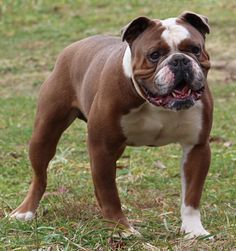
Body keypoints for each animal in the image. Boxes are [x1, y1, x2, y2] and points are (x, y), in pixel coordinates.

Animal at [11, 11, 213, 239]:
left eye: (195, 50)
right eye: (154, 55)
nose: (179, 60)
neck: (153, 101)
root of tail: (72, 48)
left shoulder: (197, 147)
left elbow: (192, 196)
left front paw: (194, 229)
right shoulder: (102, 148)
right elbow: (110, 194)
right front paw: (122, 228)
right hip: (44, 135)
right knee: (40, 176)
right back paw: (25, 211)